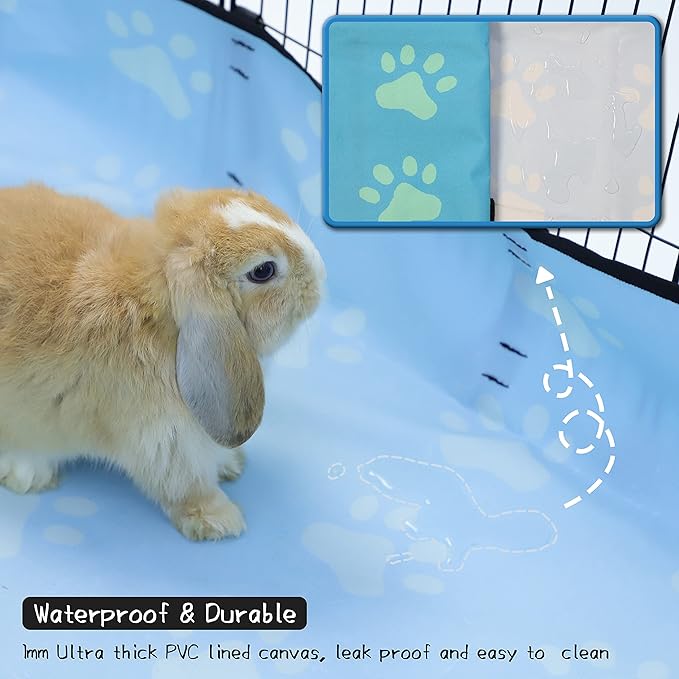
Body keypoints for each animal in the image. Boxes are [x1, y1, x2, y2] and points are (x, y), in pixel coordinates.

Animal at [0, 183, 325, 540]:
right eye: (263, 271)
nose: (321, 275)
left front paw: (231, 463)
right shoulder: (165, 441)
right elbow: (187, 486)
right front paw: (220, 521)